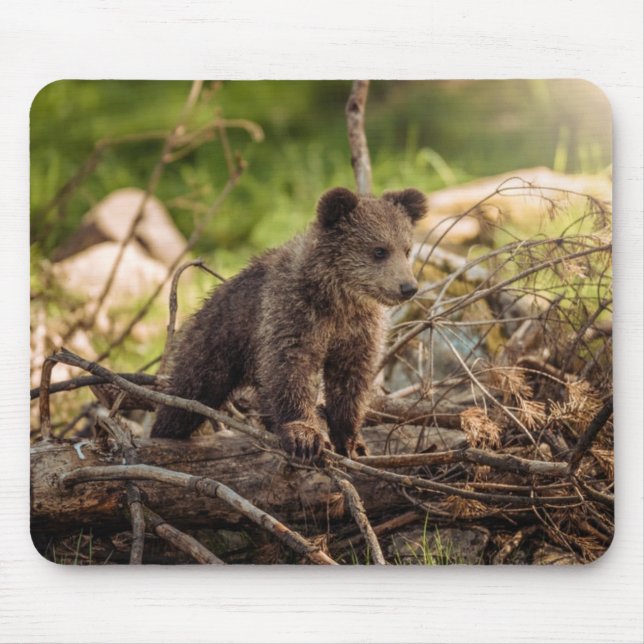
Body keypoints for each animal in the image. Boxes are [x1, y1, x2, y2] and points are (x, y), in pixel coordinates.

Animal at [151, 187, 427, 460]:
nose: (408, 287)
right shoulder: (293, 314)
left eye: (407, 249)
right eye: (379, 250)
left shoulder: (358, 331)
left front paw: (352, 442)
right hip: (217, 341)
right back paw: (164, 432)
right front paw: (304, 436)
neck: (338, 299)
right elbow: (291, 369)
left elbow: (350, 380)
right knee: (189, 393)